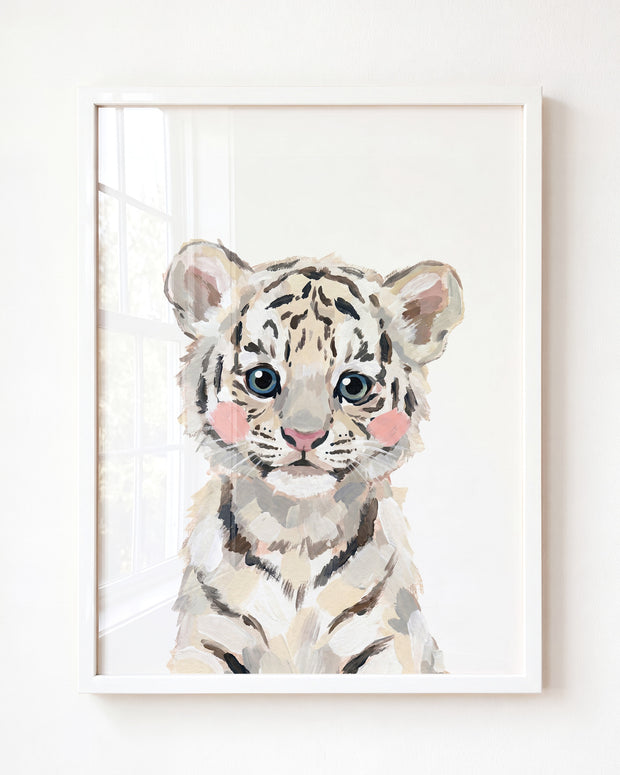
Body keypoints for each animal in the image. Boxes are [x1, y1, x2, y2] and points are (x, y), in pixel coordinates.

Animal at [164, 239, 463, 674]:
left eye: (353, 386)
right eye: (262, 379)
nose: (304, 436)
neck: (296, 534)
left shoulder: (391, 644)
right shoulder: (203, 644)